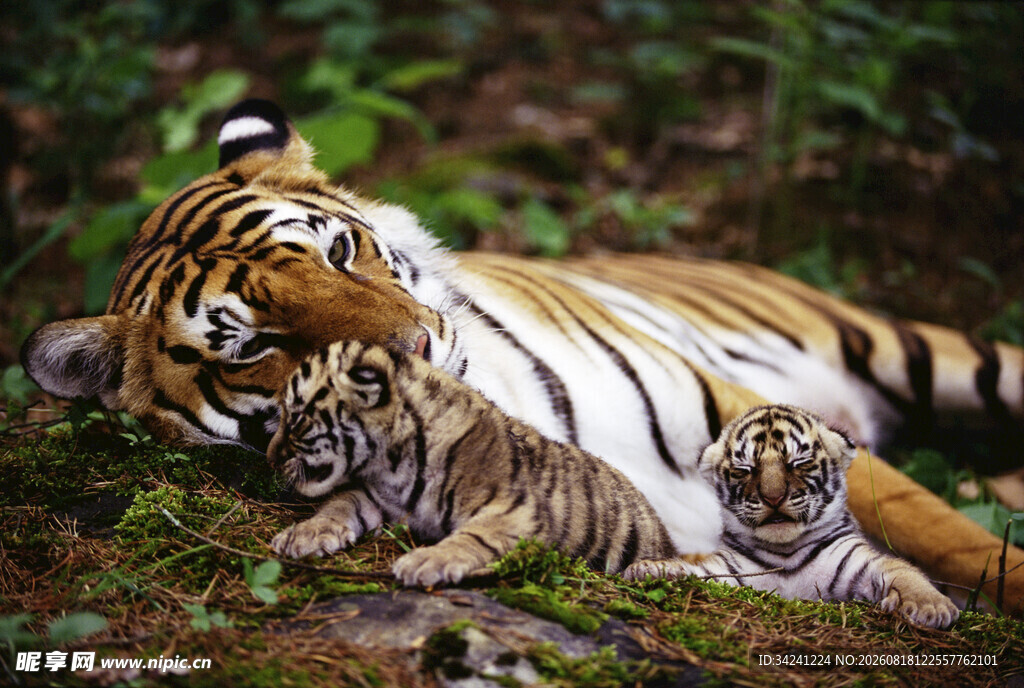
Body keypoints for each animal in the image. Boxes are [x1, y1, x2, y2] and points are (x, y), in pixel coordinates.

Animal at [268, 340, 678, 585]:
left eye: (296, 418)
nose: (271, 458)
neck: (391, 462)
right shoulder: (374, 496)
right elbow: (339, 504)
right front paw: (304, 535)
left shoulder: (515, 511)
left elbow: (471, 537)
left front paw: (423, 562)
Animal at [624, 405, 960, 628]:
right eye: (745, 470)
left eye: (798, 462)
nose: (773, 498)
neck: (785, 554)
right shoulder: (729, 572)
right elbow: (697, 569)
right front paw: (652, 569)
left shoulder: (860, 562)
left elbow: (902, 569)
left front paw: (930, 607)